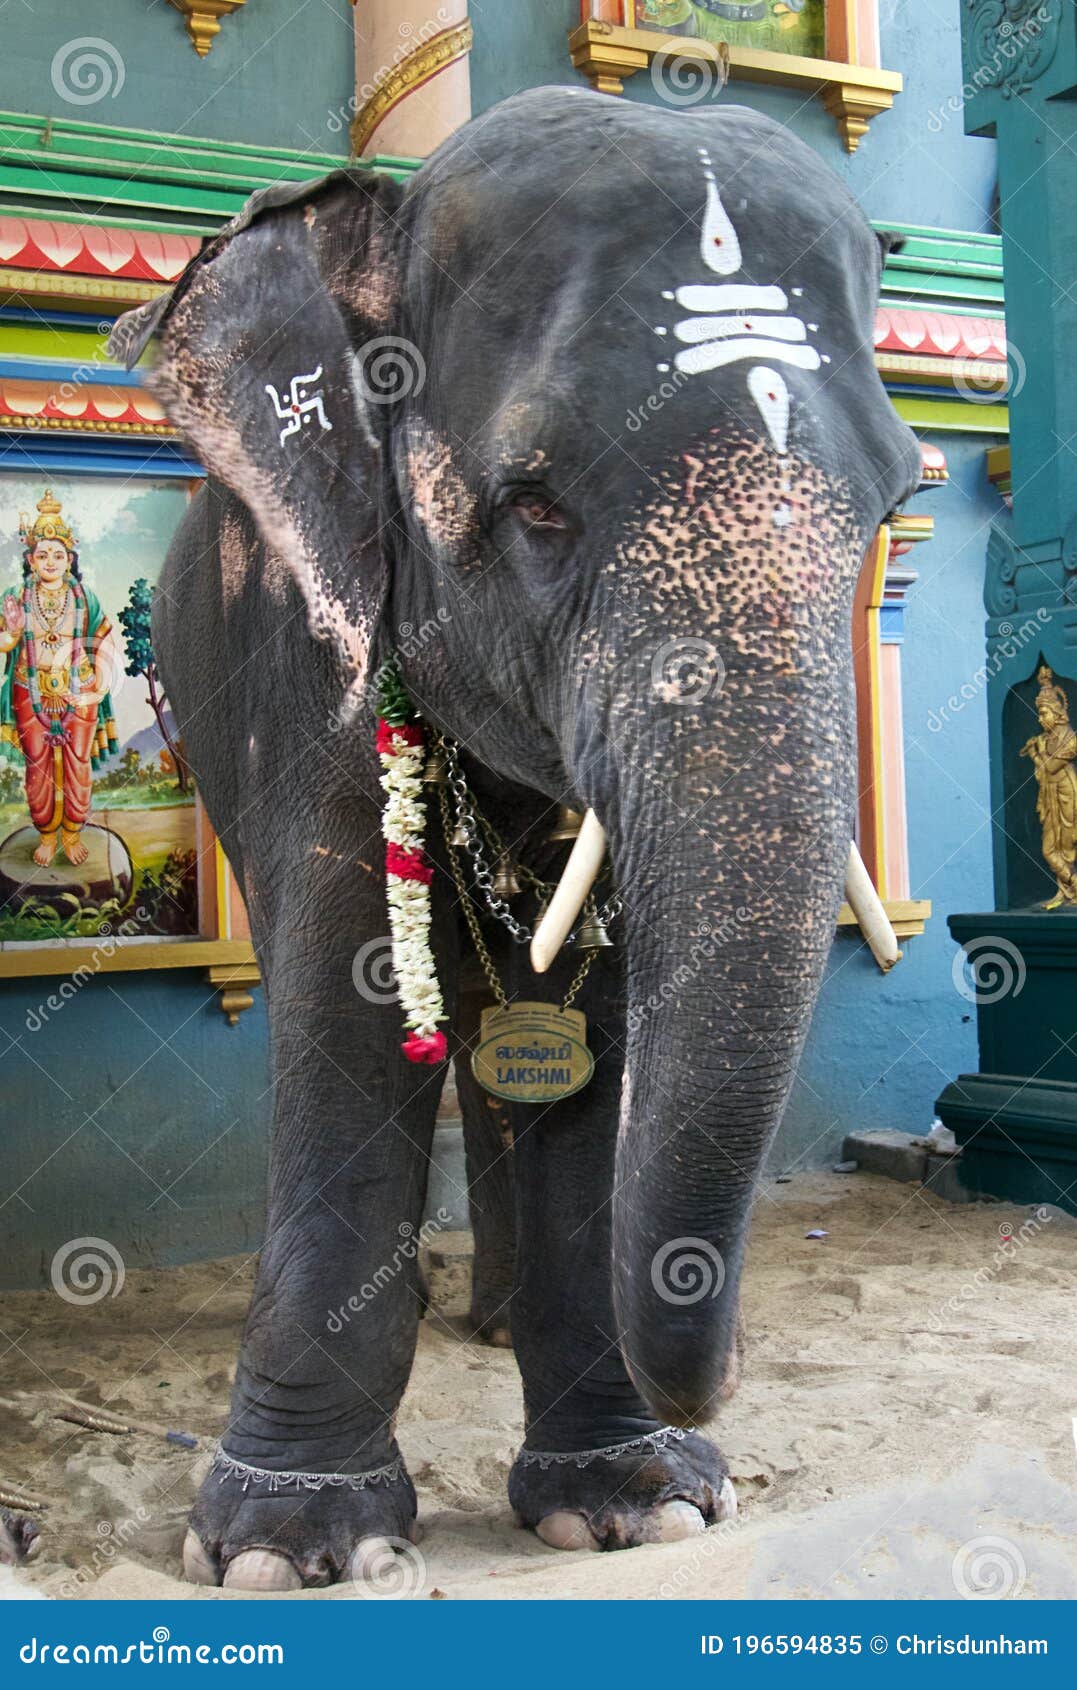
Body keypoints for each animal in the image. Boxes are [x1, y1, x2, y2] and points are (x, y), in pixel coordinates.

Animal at [106, 85, 912, 1588]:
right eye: (535, 505)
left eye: (893, 512)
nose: (713, 1387)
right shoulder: (310, 643)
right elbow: (350, 990)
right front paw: (290, 1545)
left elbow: (591, 1026)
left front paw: (638, 1503)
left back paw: (484, 1321)